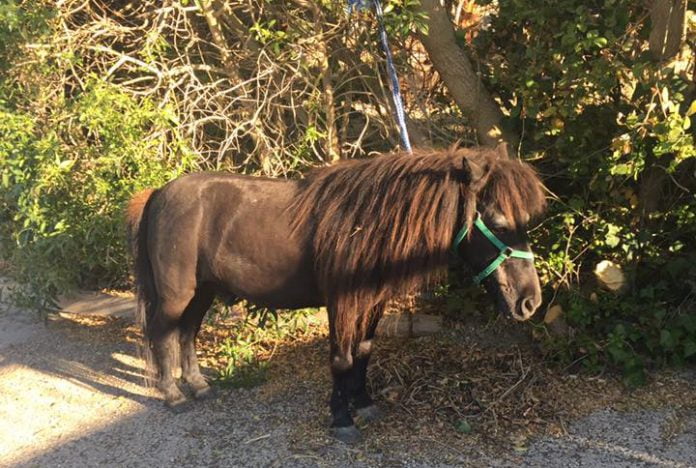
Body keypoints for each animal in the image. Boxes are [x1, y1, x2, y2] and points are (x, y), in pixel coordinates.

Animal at [125, 144, 547, 443]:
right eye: (499, 223)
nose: (530, 301)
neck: (369, 223)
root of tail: (160, 192)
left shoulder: (372, 302)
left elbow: (363, 352)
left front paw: (364, 405)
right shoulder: (342, 303)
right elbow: (342, 359)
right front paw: (342, 419)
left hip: (204, 291)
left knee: (187, 333)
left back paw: (197, 386)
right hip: (176, 293)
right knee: (162, 335)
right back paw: (173, 395)